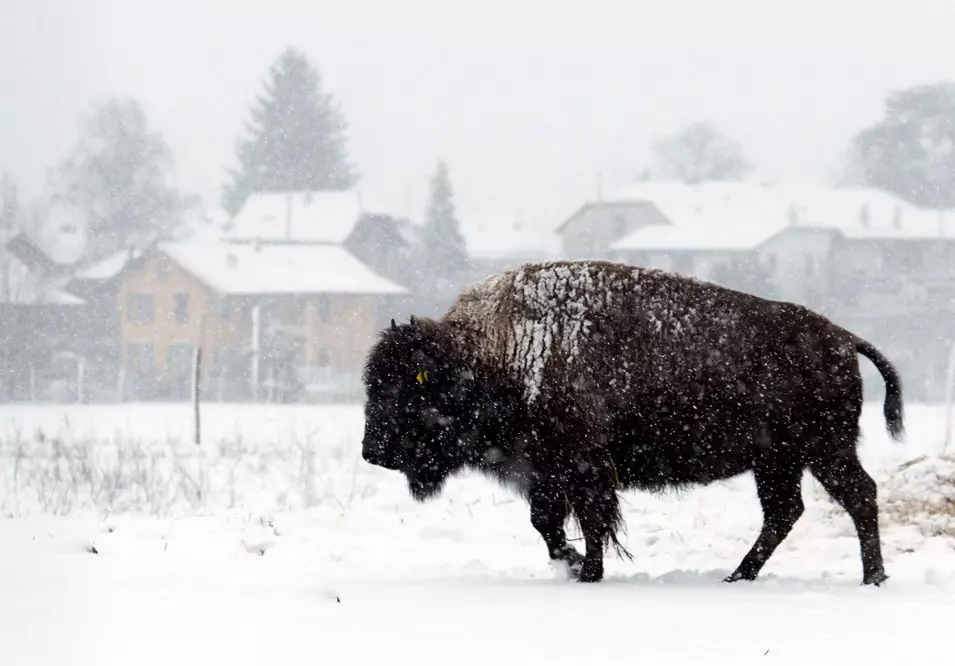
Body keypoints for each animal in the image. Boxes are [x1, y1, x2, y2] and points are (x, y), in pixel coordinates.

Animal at [358, 258, 904, 580]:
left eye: (406, 387)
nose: (372, 451)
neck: (489, 353)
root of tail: (842, 338)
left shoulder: (583, 467)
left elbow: (591, 520)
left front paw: (589, 571)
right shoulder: (546, 472)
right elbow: (546, 524)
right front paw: (574, 564)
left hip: (823, 450)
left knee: (857, 496)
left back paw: (871, 578)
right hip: (780, 460)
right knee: (785, 512)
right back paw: (739, 576)